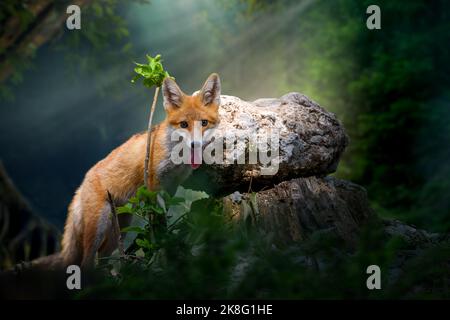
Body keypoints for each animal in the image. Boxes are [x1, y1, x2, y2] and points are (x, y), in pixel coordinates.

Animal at [59, 72, 221, 268]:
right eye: (183, 124)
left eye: (204, 123)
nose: (195, 144)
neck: (177, 160)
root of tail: (82, 182)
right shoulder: (153, 184)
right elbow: (158, 219)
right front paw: (161, 246)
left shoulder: (171, 186)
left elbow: (164, 215)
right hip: (99, 225)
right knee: (87, 262)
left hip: (120, 227)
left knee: (103, 256)